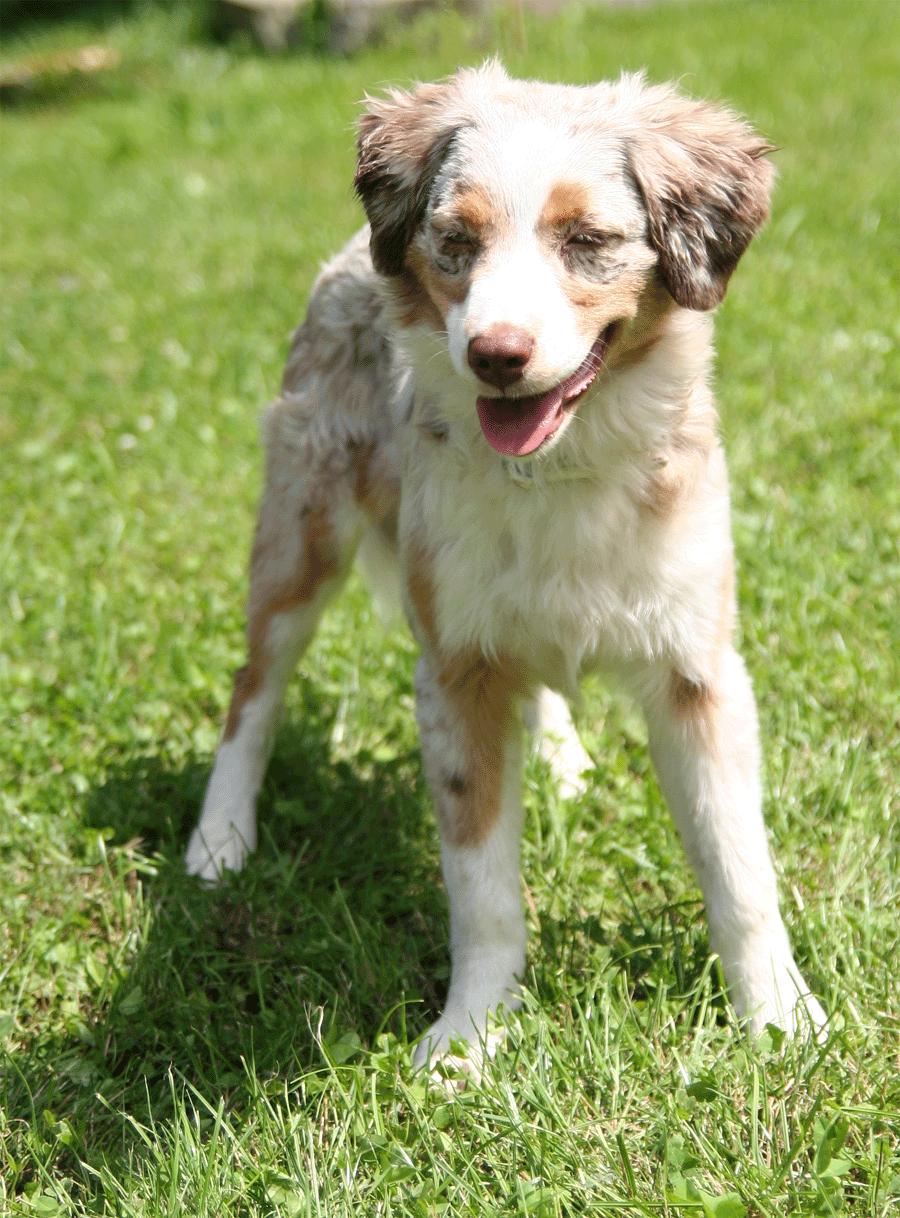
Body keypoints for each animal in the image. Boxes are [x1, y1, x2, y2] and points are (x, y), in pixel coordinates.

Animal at [186, 61, 828, 1062]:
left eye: (588, 240)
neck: (558, 474)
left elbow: (739, 867)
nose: (494, 354)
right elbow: (479, 882)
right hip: (300, 535)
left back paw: (562, 761)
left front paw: (780, 1019)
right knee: (255, 688)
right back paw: (219, 840)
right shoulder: (454, 670)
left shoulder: (699, 669)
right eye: (456, 241)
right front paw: (470, 1037)